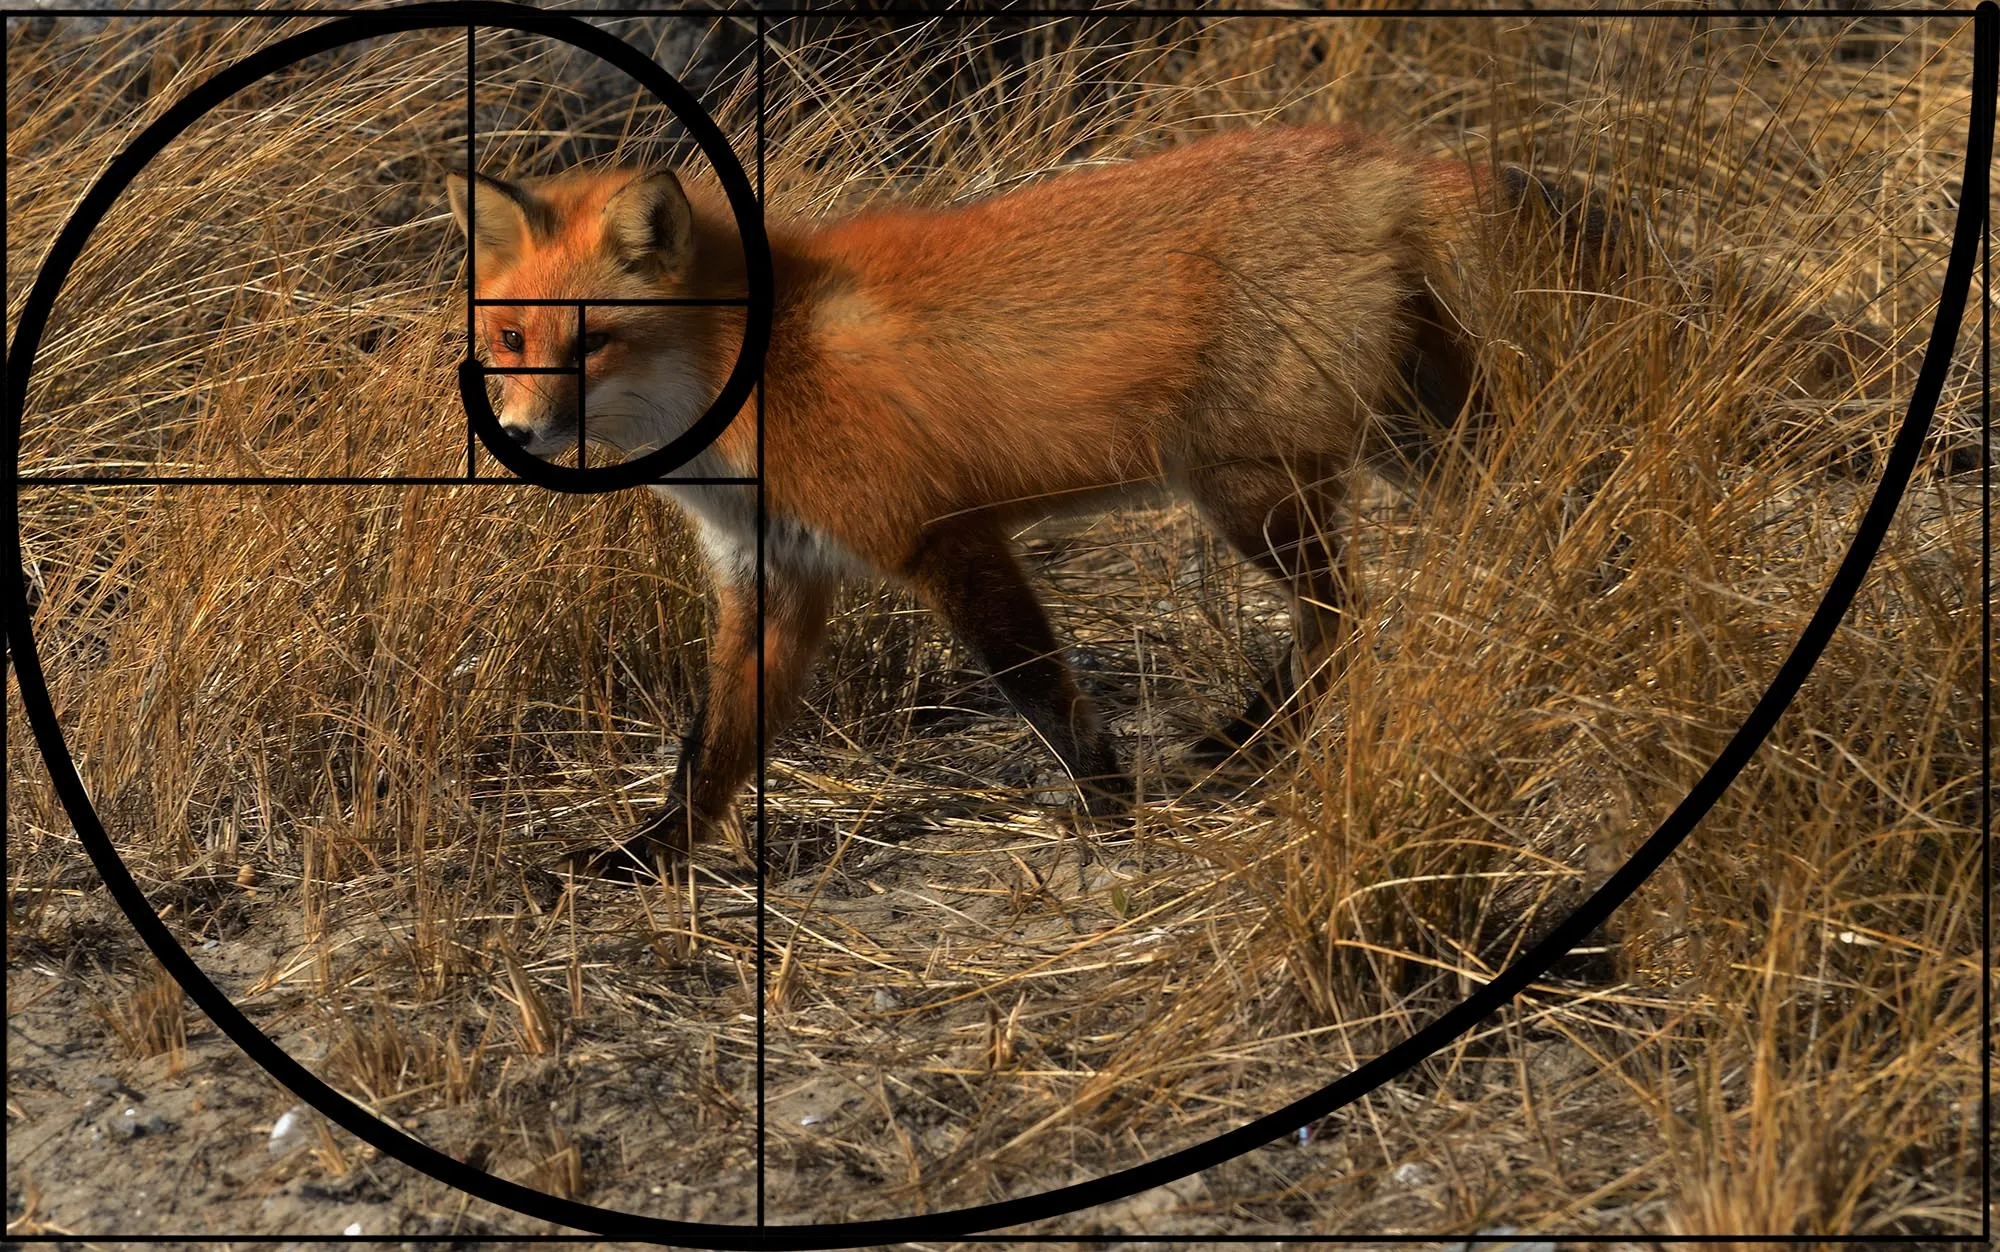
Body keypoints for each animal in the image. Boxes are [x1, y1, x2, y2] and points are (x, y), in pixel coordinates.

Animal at [444, 124, 1894, 878]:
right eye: (510, 342)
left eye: (590, 345)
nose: (513, 433)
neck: (760, 365)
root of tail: (1386, 158)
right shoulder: (774, 577)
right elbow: (714, 747)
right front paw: (649, 856)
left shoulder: (944, 537)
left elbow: (1042, 685)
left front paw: (1104, 808)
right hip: (1413, 448)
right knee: (1516, 539)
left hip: (1251, 489)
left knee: (1343, 623)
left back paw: (1247, 746)